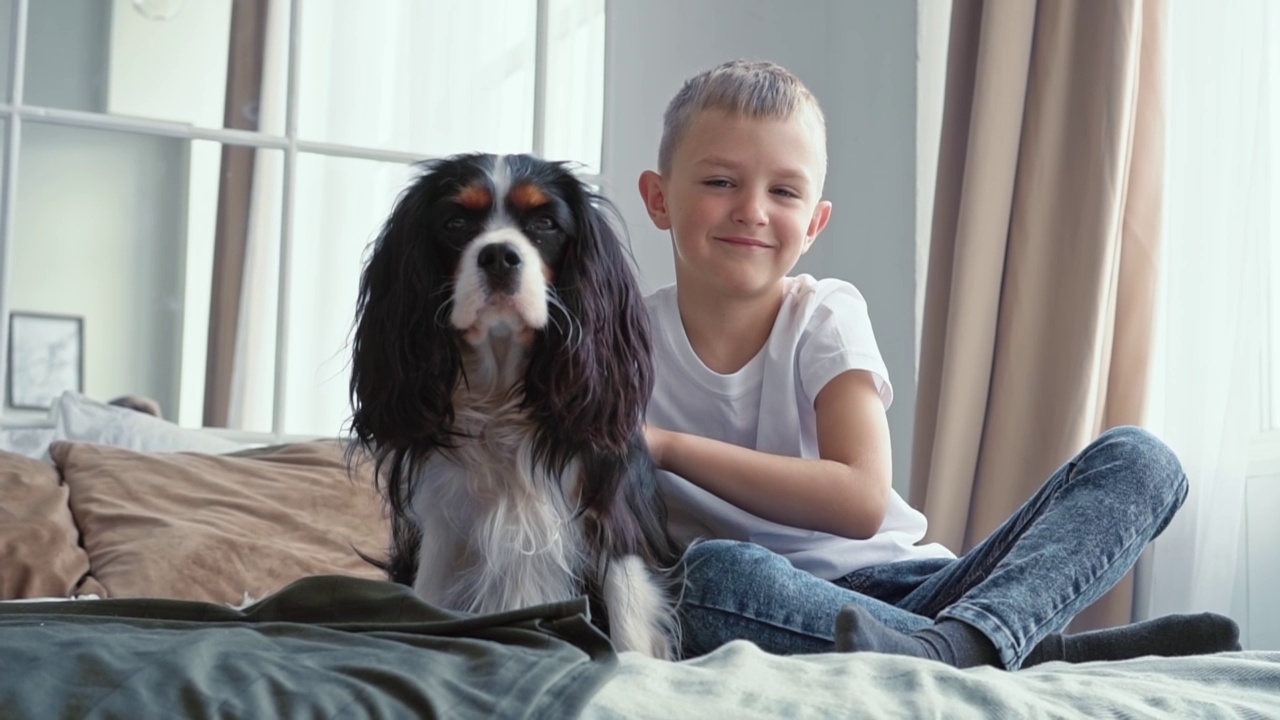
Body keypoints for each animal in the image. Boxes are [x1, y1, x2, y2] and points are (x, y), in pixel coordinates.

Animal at [345, 154, 686, 661]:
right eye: (456, 223)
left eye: (545, 224)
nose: (499, 256)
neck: (501, 392)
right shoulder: (442, 528)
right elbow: (429, 600)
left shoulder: (613, 517)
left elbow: (628, 622)